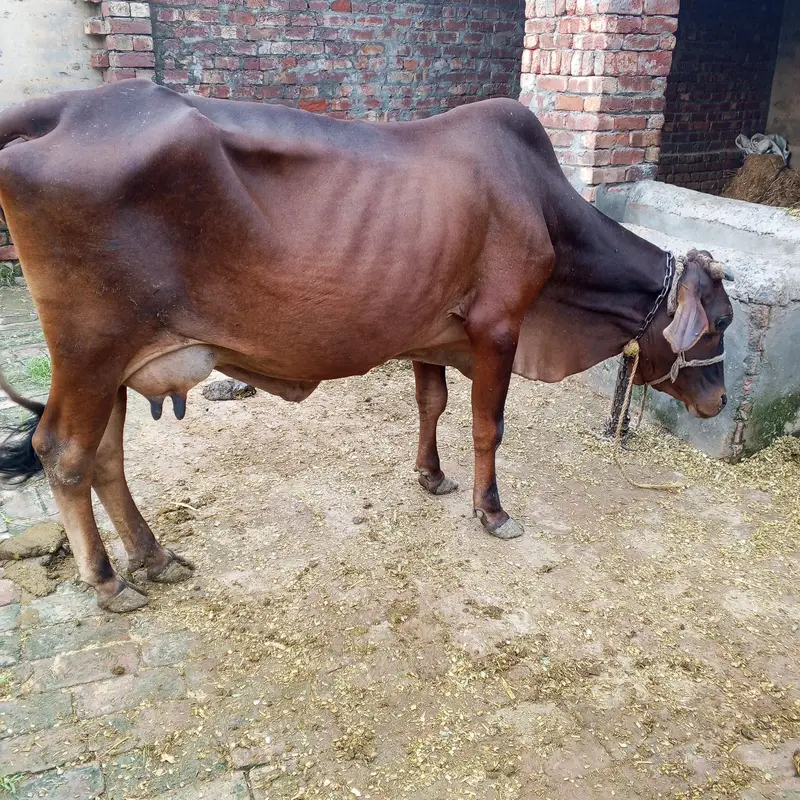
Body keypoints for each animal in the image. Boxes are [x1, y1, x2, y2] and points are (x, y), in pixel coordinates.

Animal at [0, 81, 733, 613]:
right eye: (720, 321)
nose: (720, 401)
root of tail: (70, 106)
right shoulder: (498, 327)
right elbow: (487, 425)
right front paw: (492, 511)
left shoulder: (434, 330)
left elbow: (432, 403)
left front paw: (431, 475)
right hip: (91, 351)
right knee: (62, 453)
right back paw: (108, 582)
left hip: (120, 363)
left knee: (106, 458)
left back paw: (154, 558)